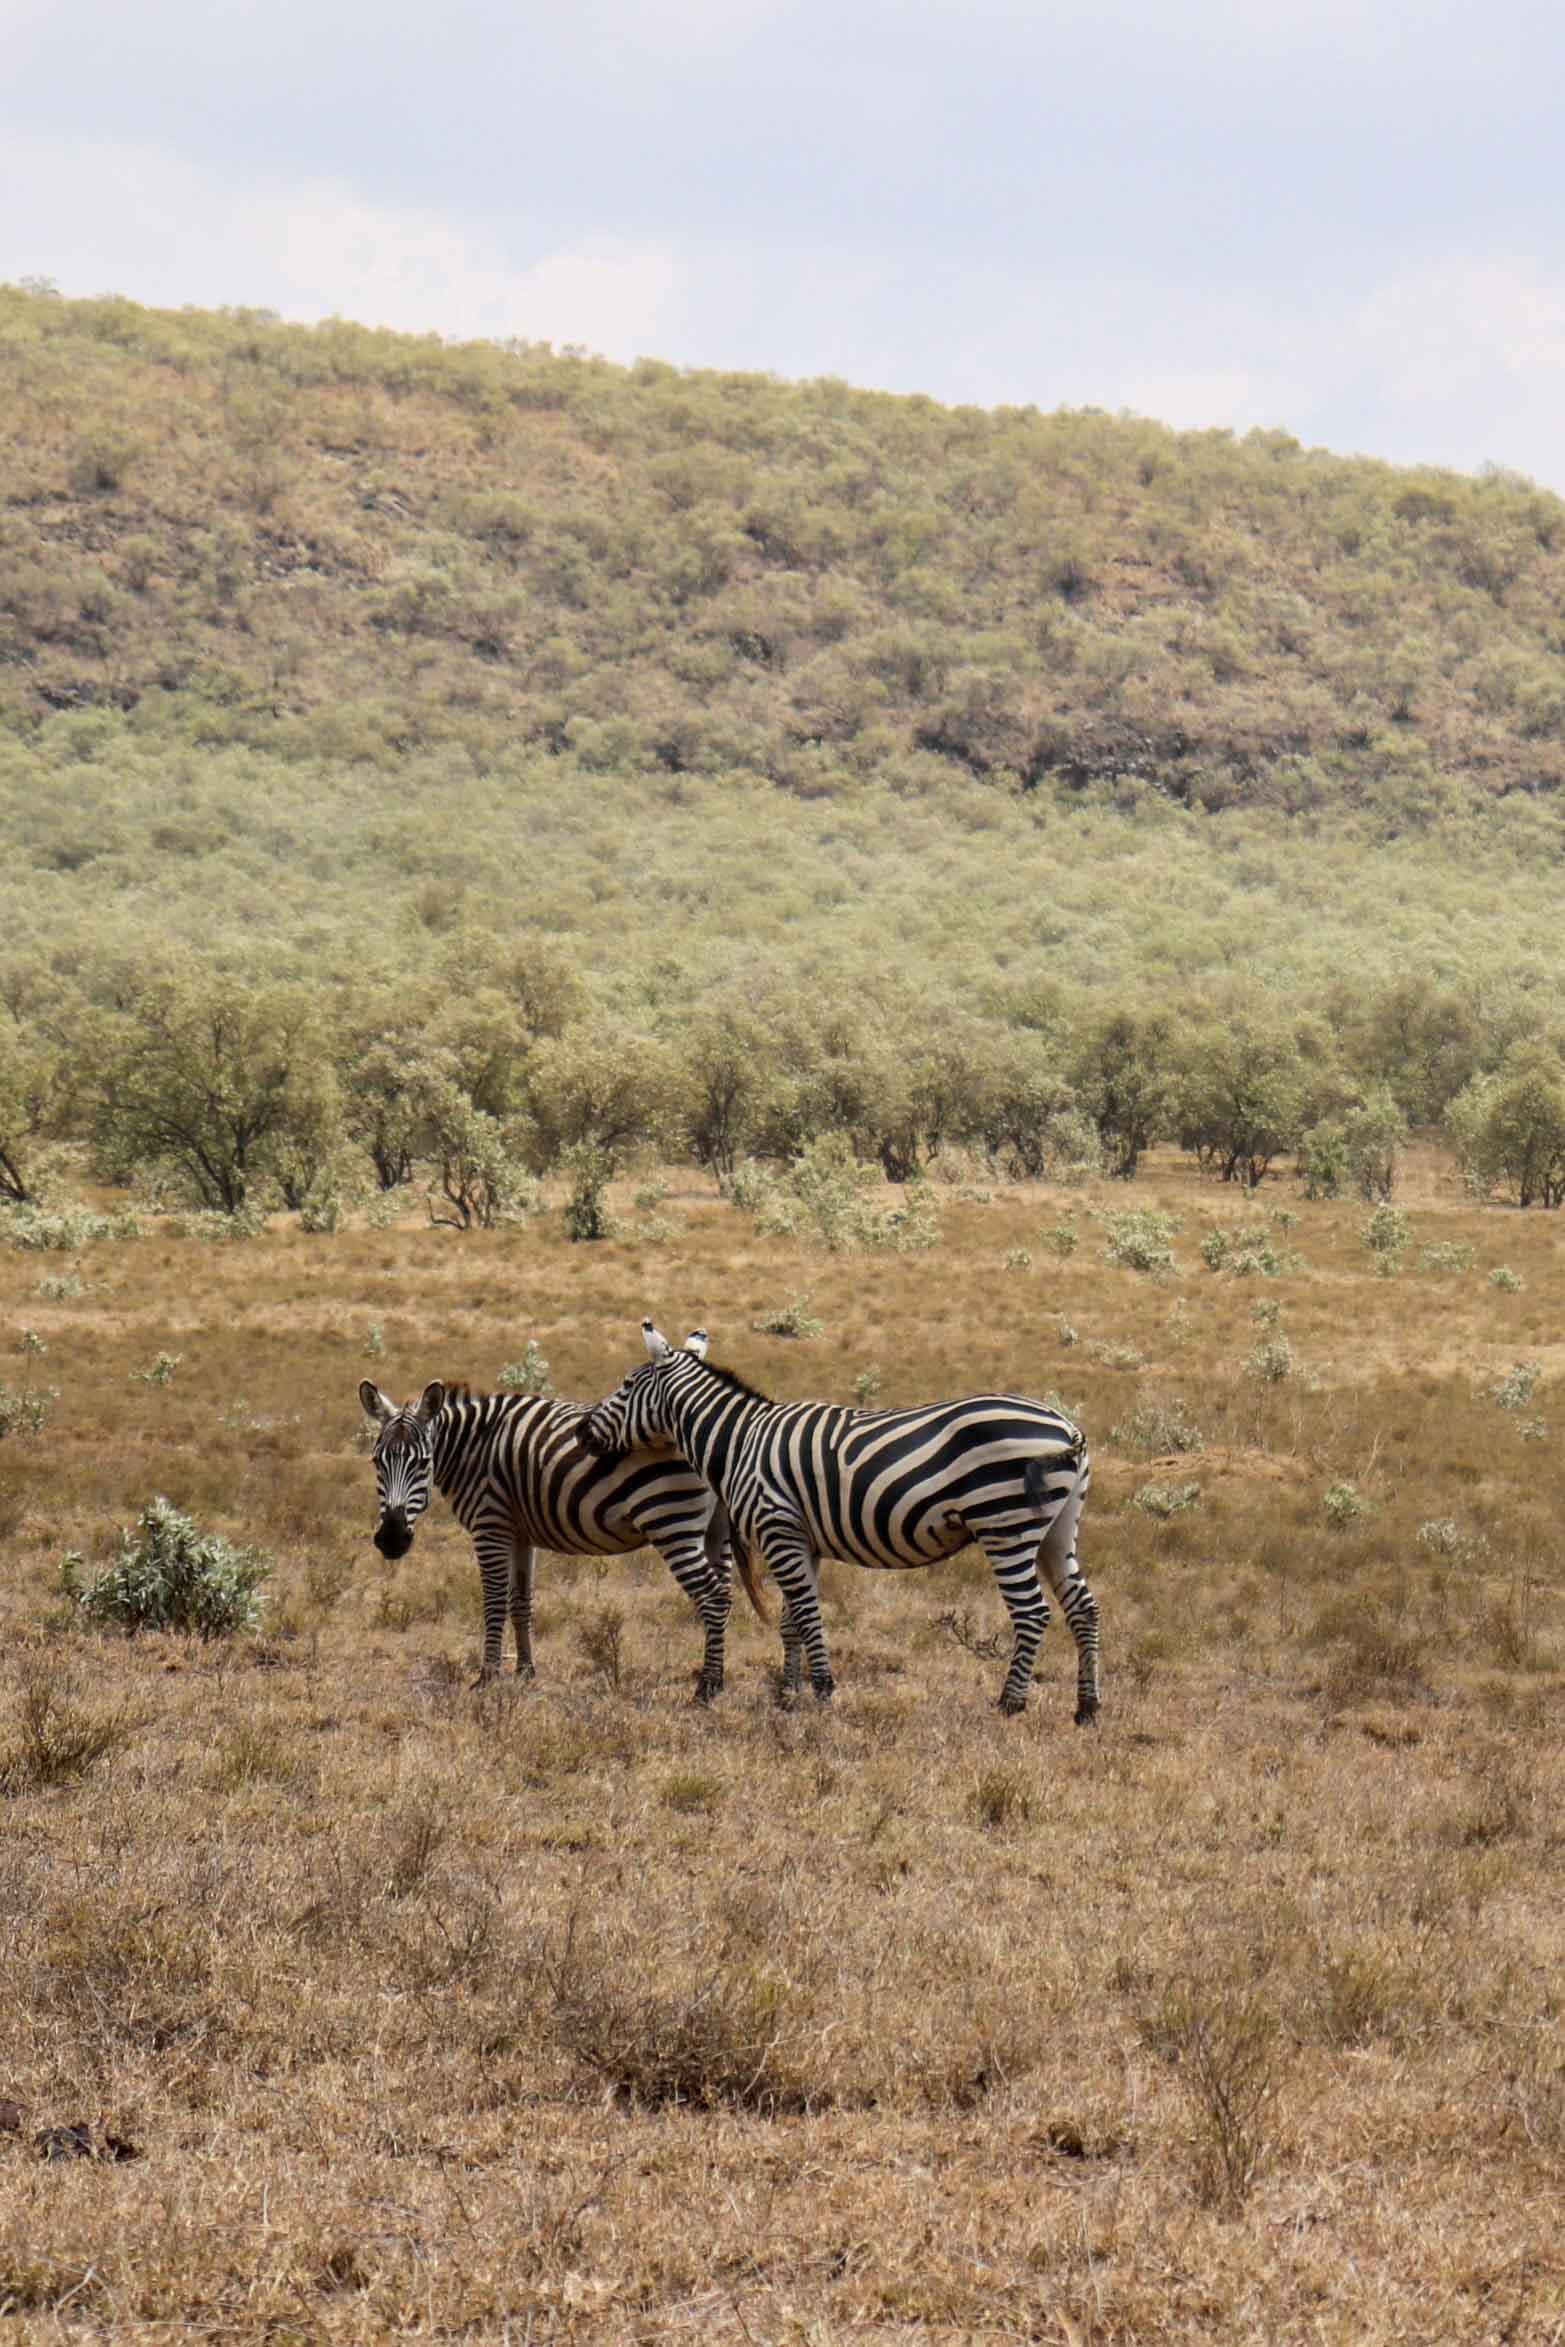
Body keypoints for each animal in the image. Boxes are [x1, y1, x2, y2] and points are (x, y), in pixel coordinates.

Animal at [356, 1370, 769, 1699]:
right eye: (376, 1461)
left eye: (422, 1463)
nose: (391, 1539)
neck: (474, 1447)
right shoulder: (520, 1533)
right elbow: (520, 1601)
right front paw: (525, 1671)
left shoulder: (491, 1525)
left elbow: (493, 1602)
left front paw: (487, 1677)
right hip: (716, 1530)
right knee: (725, 1594)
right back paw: (718, 1678)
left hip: (671, 1520)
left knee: (713, 1597)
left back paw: (706, 1689)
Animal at [574, 1323, 1102, 1727]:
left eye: (626, 1385)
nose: (582, 1433)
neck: (740, 1441)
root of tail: (1065, 1426)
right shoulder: (798, 1540)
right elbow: (790, 1620)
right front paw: (787, 1696)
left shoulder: (779, 1529)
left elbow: (808, 1615)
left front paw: (824, 1691)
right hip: (1057, 1529)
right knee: (1084, 1608)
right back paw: (1087, 1709)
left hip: (1005, 1524)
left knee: (1032, 1613)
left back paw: (1010, 1704)